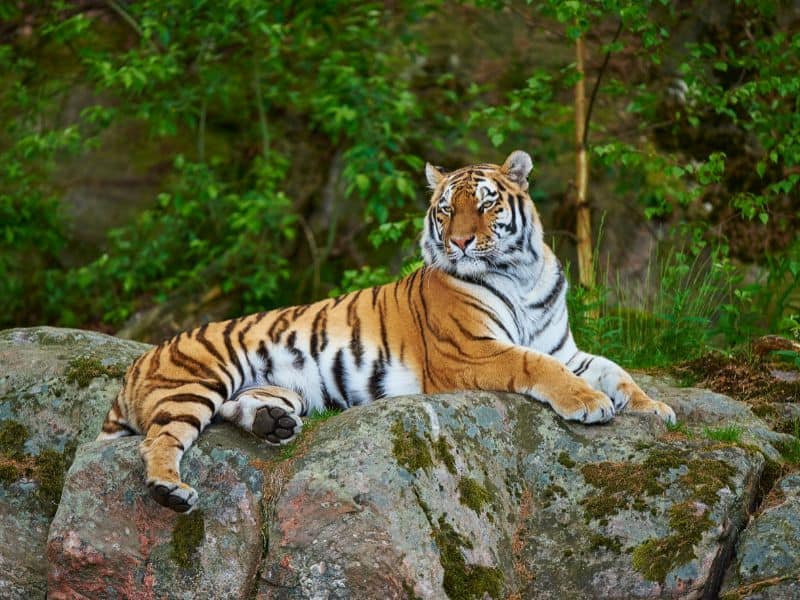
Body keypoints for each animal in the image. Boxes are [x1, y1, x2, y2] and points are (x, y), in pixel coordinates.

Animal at [98, 150, 675, 513]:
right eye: (446, 209)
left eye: (485, 203)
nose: (461, 242)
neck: (521, 272)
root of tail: (136, 365)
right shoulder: (471, 352)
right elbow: (537, 366)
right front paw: (589, 403)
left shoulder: (563, 346)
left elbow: (614, 370)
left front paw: (654, 409)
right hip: (196, 381)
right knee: (158, 440)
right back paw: (170, 490)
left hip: (279, 389)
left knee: (235, 410)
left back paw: (272, 426)